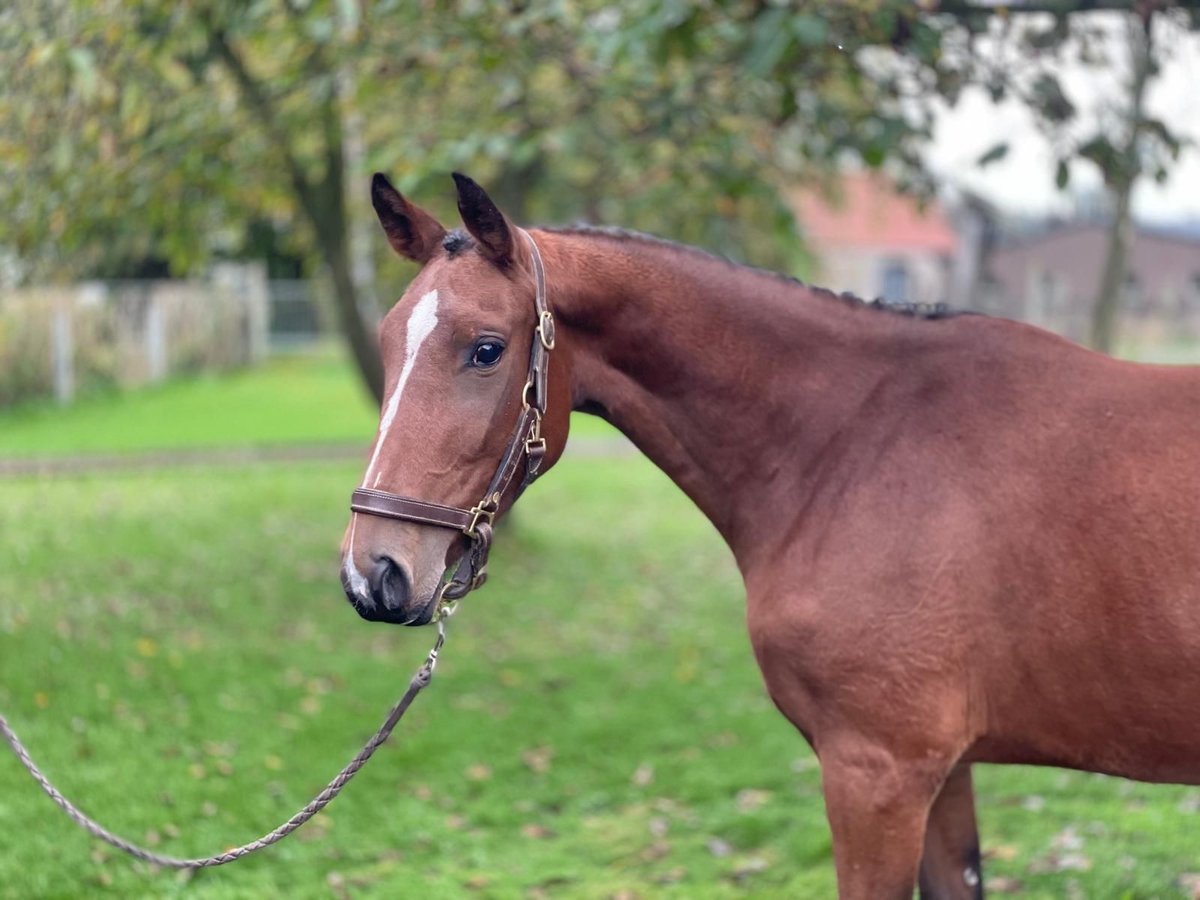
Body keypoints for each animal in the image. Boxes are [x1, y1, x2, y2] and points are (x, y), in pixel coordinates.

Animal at [338, 172, 1200, 897]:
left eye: (485, 349)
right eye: (384, 341)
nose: (373, 573)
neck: (855, 443)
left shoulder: (877, 774)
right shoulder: (944, 771)